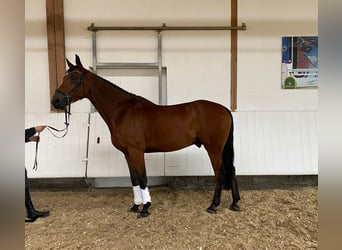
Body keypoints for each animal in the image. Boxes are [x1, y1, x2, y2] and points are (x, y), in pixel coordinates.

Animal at [50, 54, 240, 217]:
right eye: (64, 77)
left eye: (74, 78)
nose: (55, 101)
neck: (122, 111)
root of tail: (224, 109)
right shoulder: (127, 154)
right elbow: (134, 179)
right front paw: (136, 206)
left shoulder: (136, 151)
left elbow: (142, 178)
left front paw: (146, 208)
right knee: (231, 169)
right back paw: (235, 203)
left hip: (214, 149)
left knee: (220, 172)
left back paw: (213, 206)